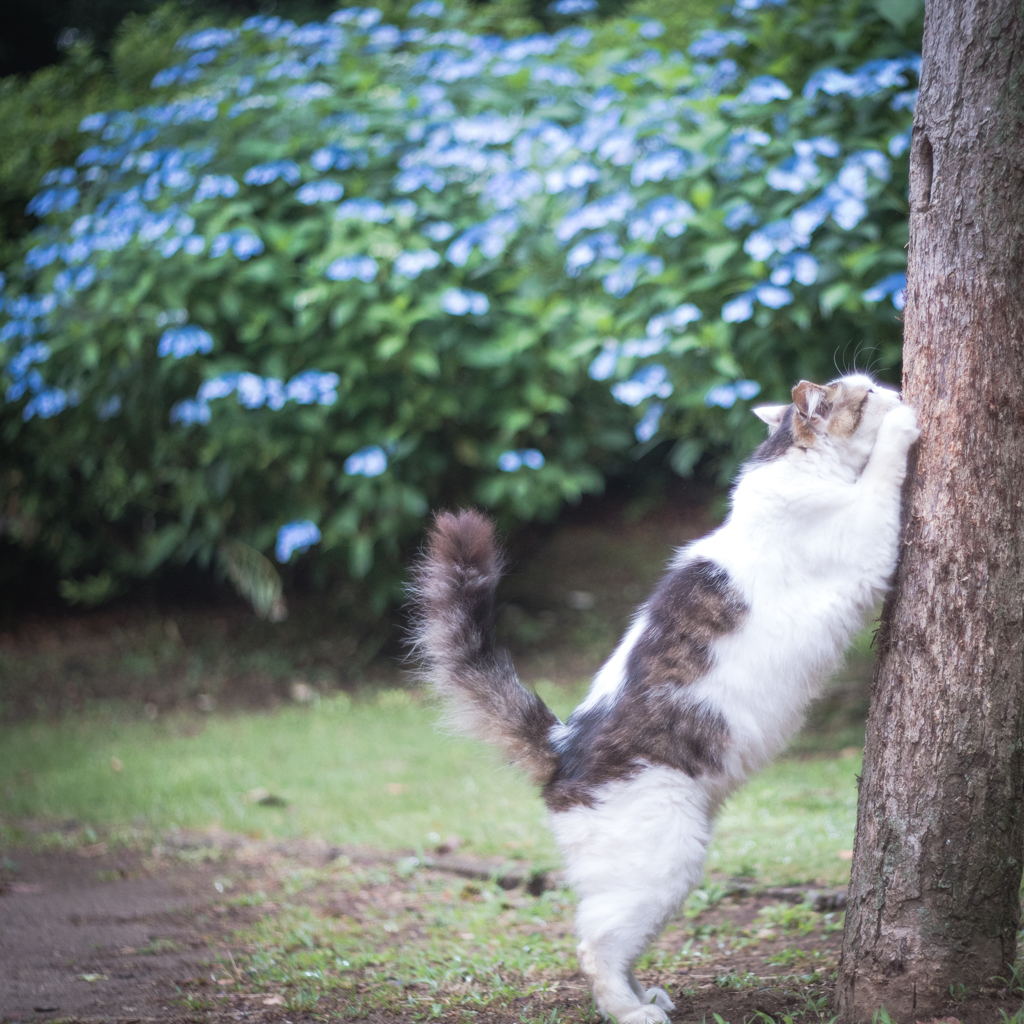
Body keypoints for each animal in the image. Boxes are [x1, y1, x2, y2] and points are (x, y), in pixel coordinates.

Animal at [407, 376, 921, 1024]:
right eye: (866, 393)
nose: (891, 385)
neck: (793, 465)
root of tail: (562, 747)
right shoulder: (865, 540)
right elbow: (881, 476)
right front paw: (903, 424)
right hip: (662, 867)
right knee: (594, 946)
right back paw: (632, 1012)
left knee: (615, 942)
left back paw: (643, 995)